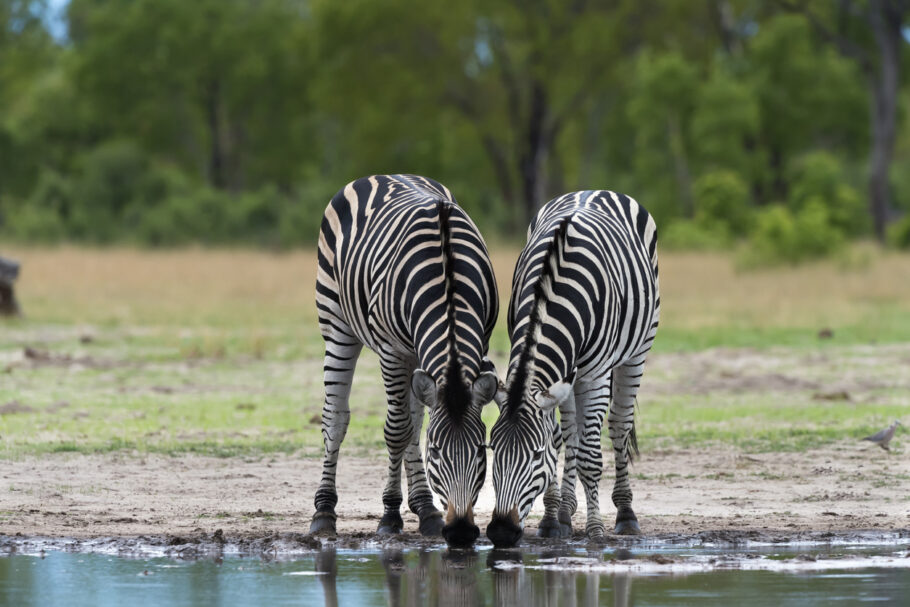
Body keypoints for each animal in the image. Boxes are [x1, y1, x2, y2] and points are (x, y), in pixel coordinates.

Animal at [312, 173, 498, 548]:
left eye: (480, 450)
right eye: (436, 452)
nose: (460, 533)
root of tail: (384, 175)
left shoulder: (477, 342)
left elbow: (413, 426)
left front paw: (419, 510)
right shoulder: (392, 352)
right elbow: (396, 430)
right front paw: (389, 515)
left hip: (416, 353)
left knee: (415, 419)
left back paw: (425, 508)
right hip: (337, 324)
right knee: (335, 418)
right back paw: (323, 511)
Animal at [488, 189, 660, 548]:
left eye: (535, 455)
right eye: (492, 448)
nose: (500, 532)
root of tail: (595, 190)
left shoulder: (594, 376)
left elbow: (590, 458)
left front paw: (595, 531)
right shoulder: (554, 378)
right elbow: (561, 440)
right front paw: (552, 519)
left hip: (637, 352)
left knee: (619, 425)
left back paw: (625, 514)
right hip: (568, 374)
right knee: (571, 434)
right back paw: (566, 512)